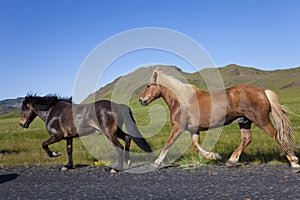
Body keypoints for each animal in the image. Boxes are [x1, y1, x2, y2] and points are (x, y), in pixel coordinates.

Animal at [19, 94, 151, 171]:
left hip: (109, 133)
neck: (52, 111)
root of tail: (117, 106)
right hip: (116, 131)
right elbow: (69, 151)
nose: (22, 124)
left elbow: (44, 145)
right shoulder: (69, 137)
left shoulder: (57, 136)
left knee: (119, 146)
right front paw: (67, 166)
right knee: (128, 138)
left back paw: (116, 169)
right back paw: (128, 161)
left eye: (24, 108)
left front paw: (56, 153)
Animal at [138, 71, 298, 168]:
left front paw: (157, 162)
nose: (141, 100)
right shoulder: (193, 130)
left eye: (148, 86)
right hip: (244, 122)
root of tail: (263, 91)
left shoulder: (178, 127)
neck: (181, 101)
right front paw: (214, 156)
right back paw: (232, 160)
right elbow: (196, 146)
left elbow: (168, 143)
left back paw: (294, 161)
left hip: (261, 120)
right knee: (247, 139)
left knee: (277, 136)